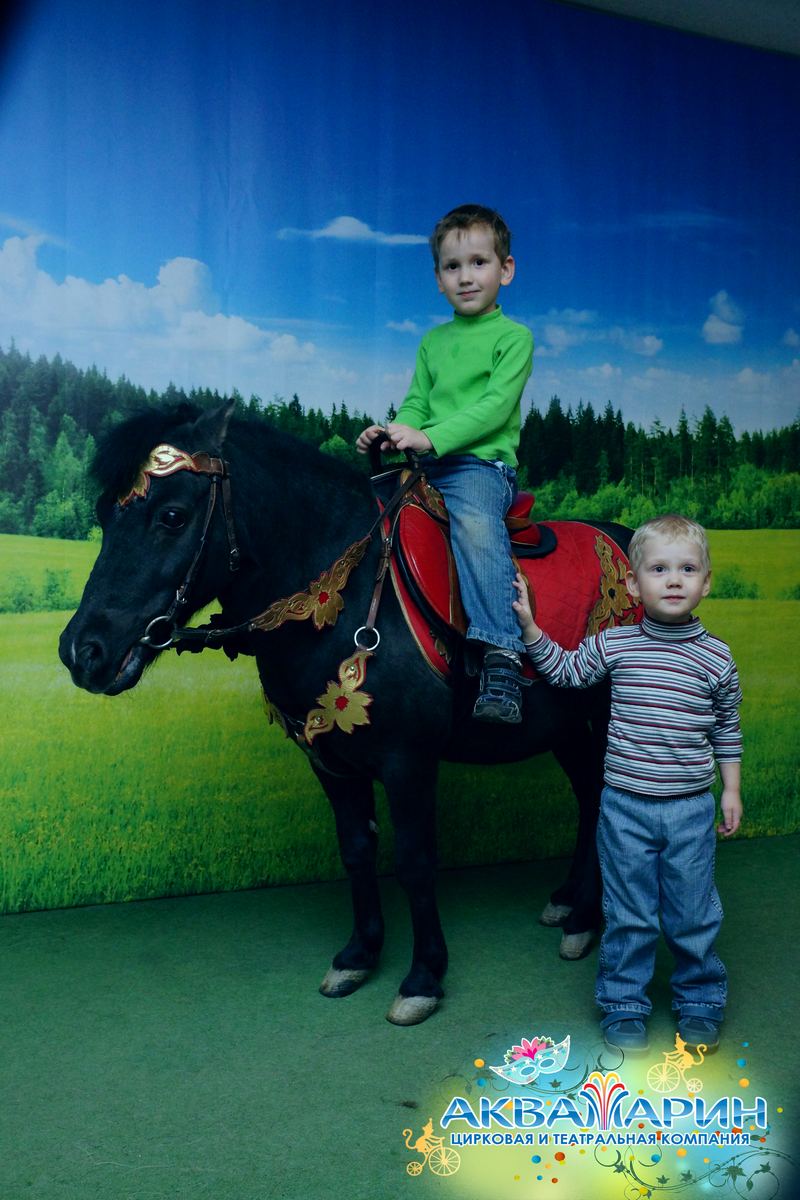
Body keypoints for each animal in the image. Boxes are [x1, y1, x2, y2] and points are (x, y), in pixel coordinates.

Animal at [60, 401, 631, 1025]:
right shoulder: (329, 760)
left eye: (171, 515)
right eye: (103, 513)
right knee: (590, 798)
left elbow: (414, 860)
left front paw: (423, 976)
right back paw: (570, 905)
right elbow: (357, 850)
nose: (82, 651)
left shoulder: (408, 761)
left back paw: (585, 921)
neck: (339, 595)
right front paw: (359, 955)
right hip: (567, 727)